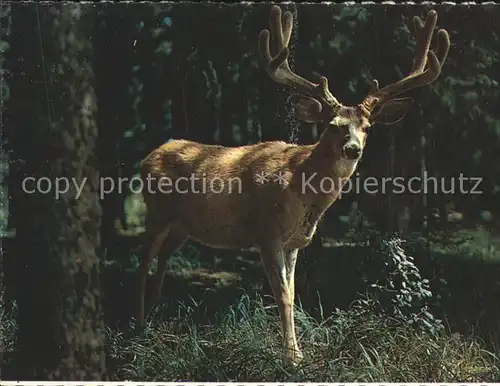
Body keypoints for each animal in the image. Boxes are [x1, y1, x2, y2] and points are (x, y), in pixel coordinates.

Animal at [136, 4, 450, 364]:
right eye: (332, 125)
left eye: (368, 127)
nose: (352, 148)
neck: (299, 189)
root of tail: (149, 156)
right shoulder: (266, 232)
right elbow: (283, 295)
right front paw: (292, 358)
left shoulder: (294, 243)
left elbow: (294, 291)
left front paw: (297, 350)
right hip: (155, 211)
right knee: (143, 260)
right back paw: (138, 325)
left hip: (182, 226)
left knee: (162, 259)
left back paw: (155, 314)